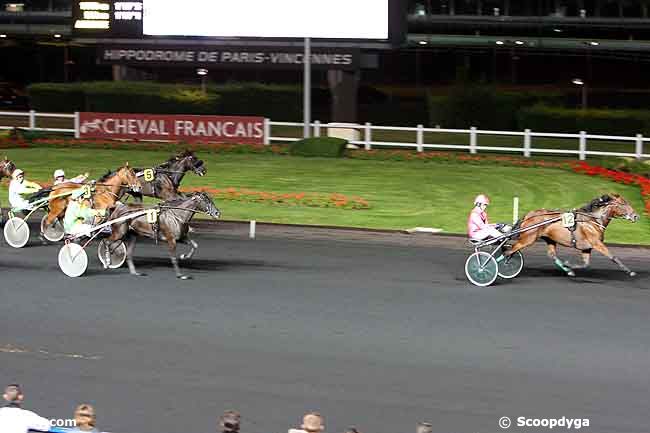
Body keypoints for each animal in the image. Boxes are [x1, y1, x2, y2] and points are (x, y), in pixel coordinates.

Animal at [502, 193, 636, 276]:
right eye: (623, 204)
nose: (635, 216)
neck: (593, 220)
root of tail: (530, 215)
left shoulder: (587, 248)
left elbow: (586, 264)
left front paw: (568, 265)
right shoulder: (597, 243)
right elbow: (613, 257)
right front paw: (629, 271)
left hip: (549, 239)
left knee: (551, 255)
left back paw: (567, 270)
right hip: (528, 239)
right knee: (509, 251)